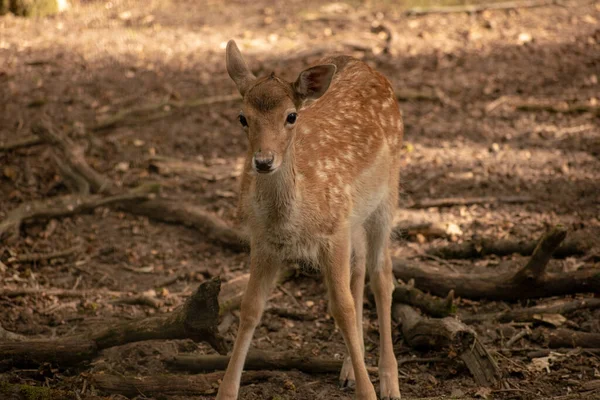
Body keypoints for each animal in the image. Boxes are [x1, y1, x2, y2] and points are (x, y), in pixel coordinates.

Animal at [216, 40, 404, 400]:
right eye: (242, 117)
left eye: (291, 116)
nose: (263, 161)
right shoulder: (262, 241)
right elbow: (250, 308)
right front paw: (225, 392)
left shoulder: (334, 234)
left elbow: (342, 308)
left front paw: (368, 392)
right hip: (355, 217)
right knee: (359, 269)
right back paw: (349, 369)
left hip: (387, 195)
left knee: (382, 274)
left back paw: (389, 382)